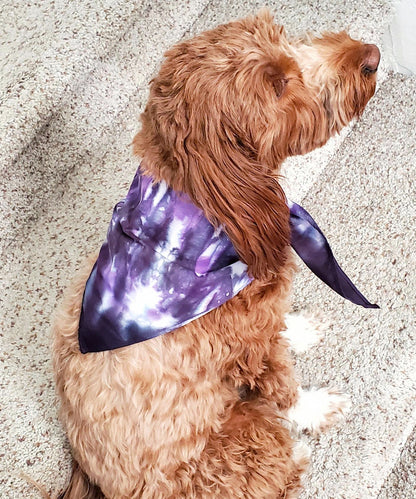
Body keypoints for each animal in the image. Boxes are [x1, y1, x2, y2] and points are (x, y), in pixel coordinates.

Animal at [51, 8, 376, 499]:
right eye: (278, 85)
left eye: (284, 36)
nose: (371, 56)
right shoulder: (245, 345)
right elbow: (283, 385)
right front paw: (315, 409)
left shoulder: (258, 318)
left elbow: (278, 324)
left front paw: (298, 329)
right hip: (241, 441)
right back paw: (295, 454)